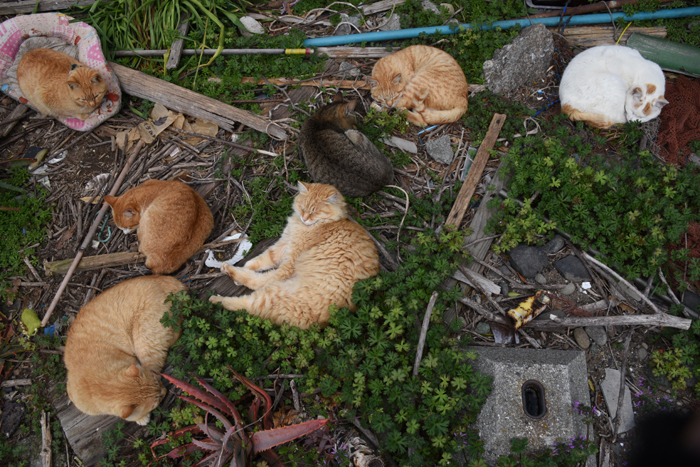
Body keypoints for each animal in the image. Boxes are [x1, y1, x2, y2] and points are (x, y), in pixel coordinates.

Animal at [211, 181, 380, 330]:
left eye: (314, 211)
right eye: (303, 208)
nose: (305, 218)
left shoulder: (290, 260)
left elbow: (266, 274)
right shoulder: (283, 245)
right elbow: (259, 261)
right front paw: (247, 267)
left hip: (273, 293)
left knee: (249, 297)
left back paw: (219, 289)